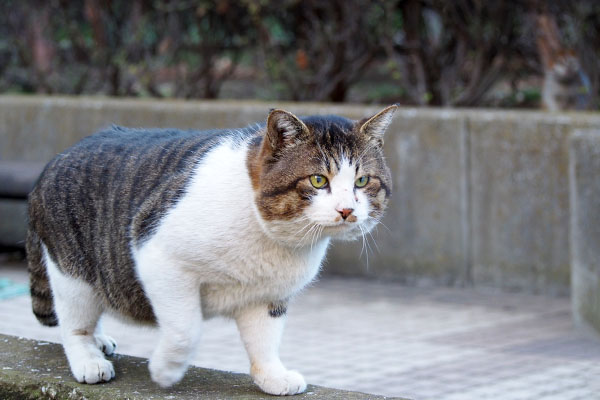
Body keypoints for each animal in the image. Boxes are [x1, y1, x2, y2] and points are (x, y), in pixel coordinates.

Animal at [27, 104, 394, 396]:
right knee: (74, 320)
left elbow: (265, 340)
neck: (270, 235)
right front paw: (165, 371)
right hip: (72, 270)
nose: (347, 210)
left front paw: (272, 376)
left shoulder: (268, 294)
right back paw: (89, 356)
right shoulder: (158, 255)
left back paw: (99, 339)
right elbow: (185, 331)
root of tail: (57, 158)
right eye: (318, 180)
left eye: (362, 181)